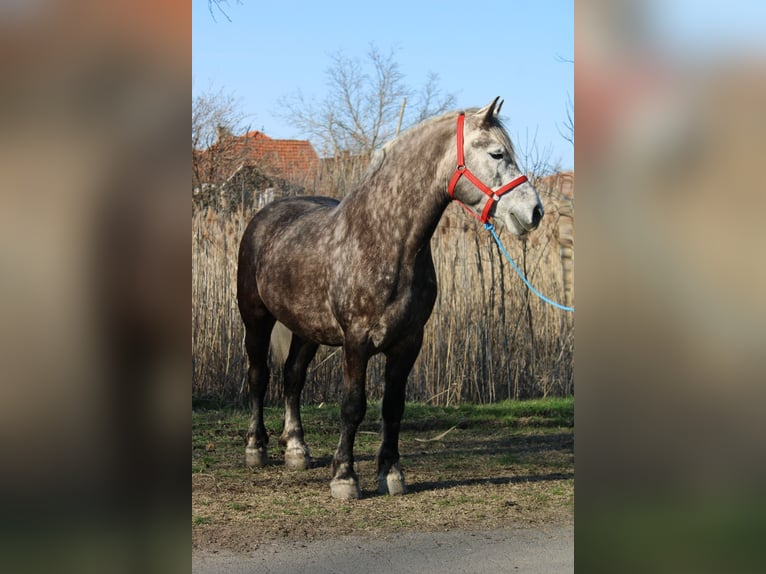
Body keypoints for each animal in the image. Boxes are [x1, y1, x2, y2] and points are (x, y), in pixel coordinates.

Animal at [236, 97, 544, 499]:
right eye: (497, 153)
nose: (534, 211)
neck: (386, 240)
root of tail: (264, 216)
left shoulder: (408, 342)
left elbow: (393, 408)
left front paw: (392, 473)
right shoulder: (356, 341)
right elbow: (353, 406)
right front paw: (345, 477)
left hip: (306, 329)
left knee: (292, 378)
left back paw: (297, 449)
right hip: (255, 318)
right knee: (259, 376)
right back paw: (256, 448)